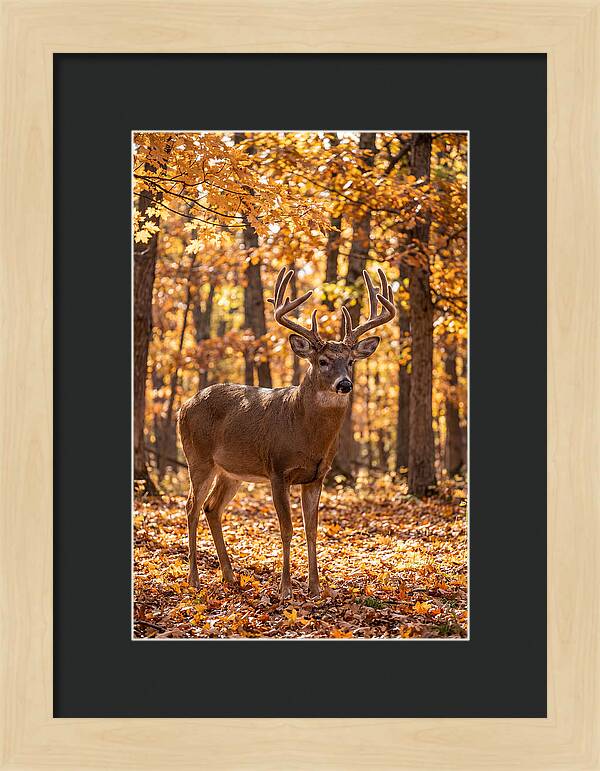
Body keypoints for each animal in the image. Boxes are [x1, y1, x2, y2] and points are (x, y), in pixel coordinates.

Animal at [178, 266, 396, 600]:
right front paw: (285, 589)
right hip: (198, 458)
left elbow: (312, 530)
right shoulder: (277, 470)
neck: (305, 433)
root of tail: (183, 406)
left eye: (350, 361)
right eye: (322, 361)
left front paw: (316, 588)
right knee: (191, 507)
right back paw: (194, 579)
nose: (345, 384)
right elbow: (287, 528)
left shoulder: (317, 476)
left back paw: (230, 576)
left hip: (231, 471)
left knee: (212, 508)